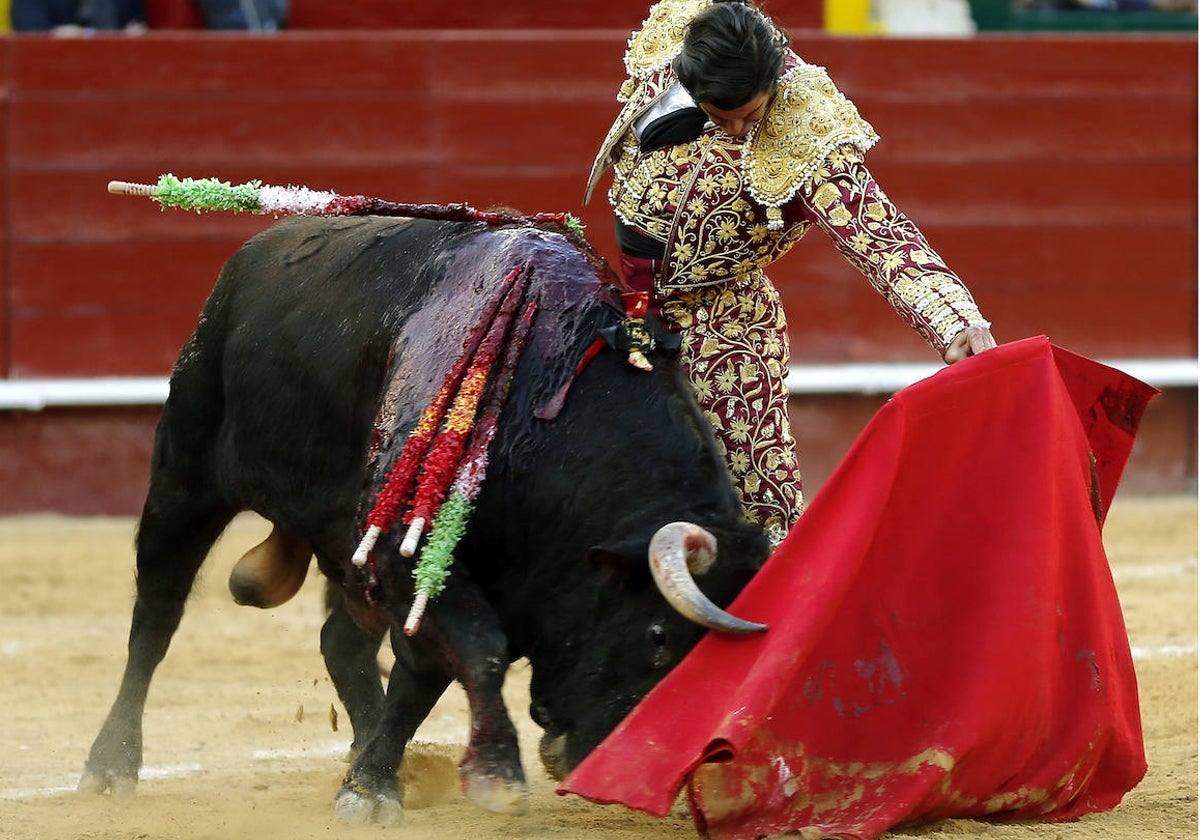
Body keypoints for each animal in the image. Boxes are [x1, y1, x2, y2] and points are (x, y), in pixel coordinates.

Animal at [77, 213, 768, 825]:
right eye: (657, 637)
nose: (609, 773)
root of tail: (253, 253)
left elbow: (422, 677)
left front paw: (373, 782)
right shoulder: (410, 553)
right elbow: (475, 652)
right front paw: (491, 776)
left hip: (340, 543)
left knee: (341, 641)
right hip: (185, 478)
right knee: (156, 618)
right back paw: (110, 765)